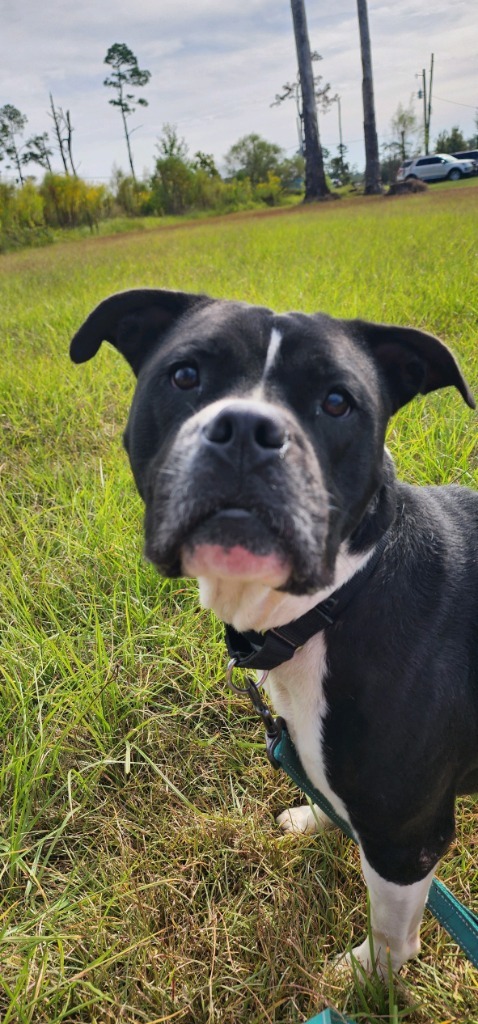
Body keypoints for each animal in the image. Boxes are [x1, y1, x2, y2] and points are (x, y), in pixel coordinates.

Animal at [72, 288, 478, 974]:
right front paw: (316, 819)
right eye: (185, 375)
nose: (245, 430)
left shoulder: (407, 839)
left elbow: (392, 932)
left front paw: (365, 980)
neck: (340, 597)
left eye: (337, 402)